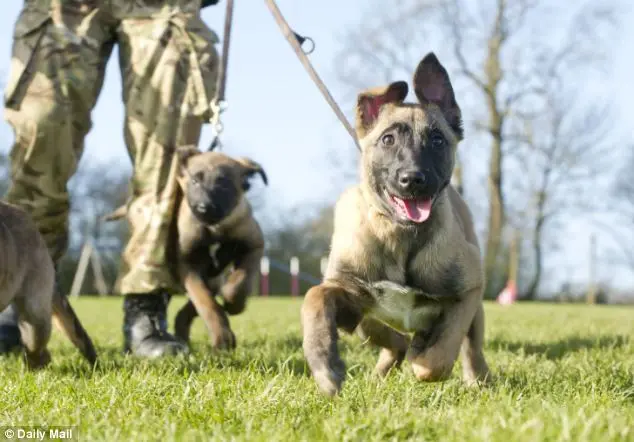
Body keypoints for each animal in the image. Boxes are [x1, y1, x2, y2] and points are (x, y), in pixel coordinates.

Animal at [105, 150, 266, 350]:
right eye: (195, 181)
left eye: (224, 183)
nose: (203, 207)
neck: (214, 228)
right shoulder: (189, 266)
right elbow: (206, 303)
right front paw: (221, 338)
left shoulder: (253, 247)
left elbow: (240, 282)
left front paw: (233, 304)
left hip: (212, 280)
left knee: (185, 313)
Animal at [300, 52, 488, 398]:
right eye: (388, 139)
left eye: (437, 140)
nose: (412, 179)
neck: (402, 237)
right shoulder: (348, 291)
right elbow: (314, 298)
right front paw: (325, 366)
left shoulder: (467, 292)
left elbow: (437, 357)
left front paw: (424, 356)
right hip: (365, 320)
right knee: (394, 340)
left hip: (474, 310)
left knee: (471, 349)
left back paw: (476, 377)